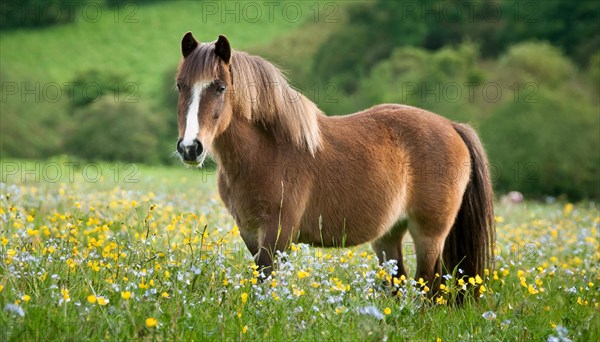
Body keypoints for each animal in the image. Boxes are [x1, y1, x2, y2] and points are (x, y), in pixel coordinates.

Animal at [176, 32, 494, 292]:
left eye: (220, 87)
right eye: (180, 86)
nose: (190, 148)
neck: (267, 151)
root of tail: (452, 126)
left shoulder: (278, 234)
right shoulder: (249, 231)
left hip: (429, 235)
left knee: (427, 289)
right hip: (389, 236)